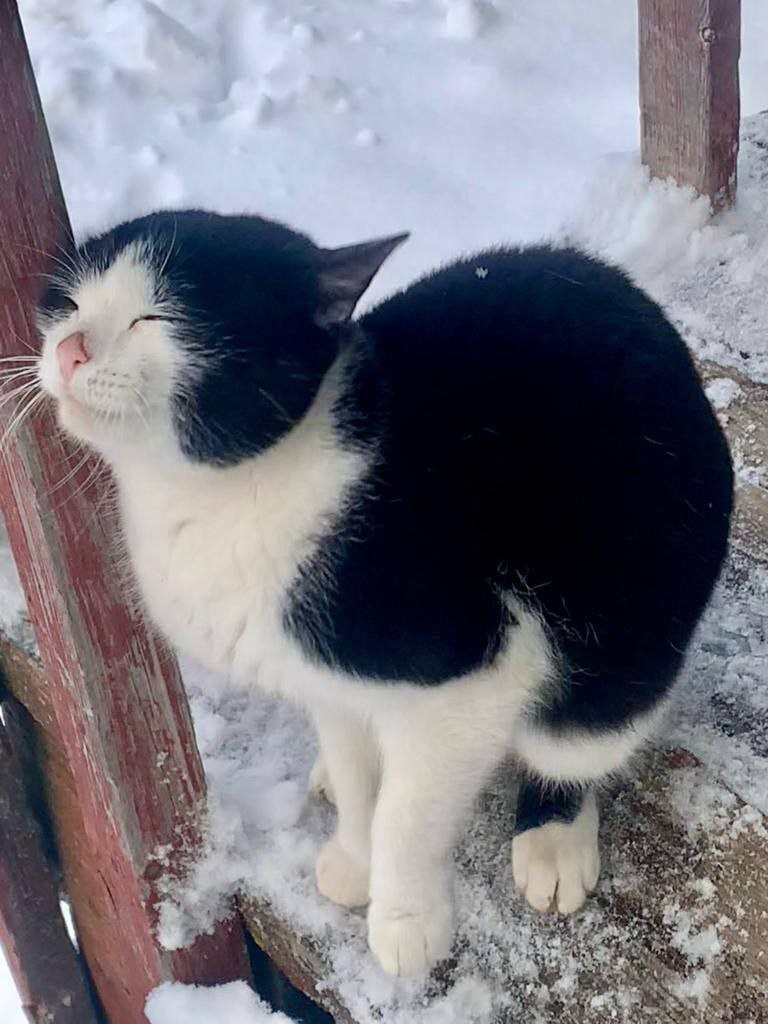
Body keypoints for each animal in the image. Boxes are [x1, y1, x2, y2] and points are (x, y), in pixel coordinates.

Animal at [36, 209, 733, 974]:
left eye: (157, 317)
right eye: (68, 304)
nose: (70, 349)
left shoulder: (471, 664)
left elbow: (408, 809)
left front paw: (405, 916)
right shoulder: (328, 683)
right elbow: (356, 770)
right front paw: (353, 854)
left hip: (627, 625)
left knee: (576, 742)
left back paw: (553, 836)